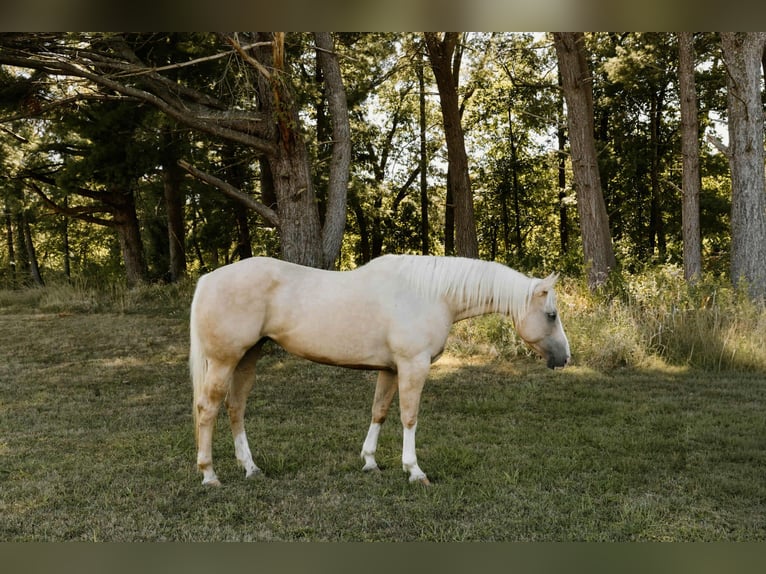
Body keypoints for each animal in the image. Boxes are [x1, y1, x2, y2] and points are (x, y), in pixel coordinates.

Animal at [189, 254, 570, 486]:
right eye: (551, 315)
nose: (565, 358)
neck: (431, 294)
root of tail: (208, 278)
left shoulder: (390, 369)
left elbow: (380, 411)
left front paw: (370, 461)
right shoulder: (413, 365)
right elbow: (409, 416)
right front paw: (414, 470)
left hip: (247, 357)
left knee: (235, 408)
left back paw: (251, 468)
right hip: (224, 361)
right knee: (208, 409)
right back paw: (209, 475)